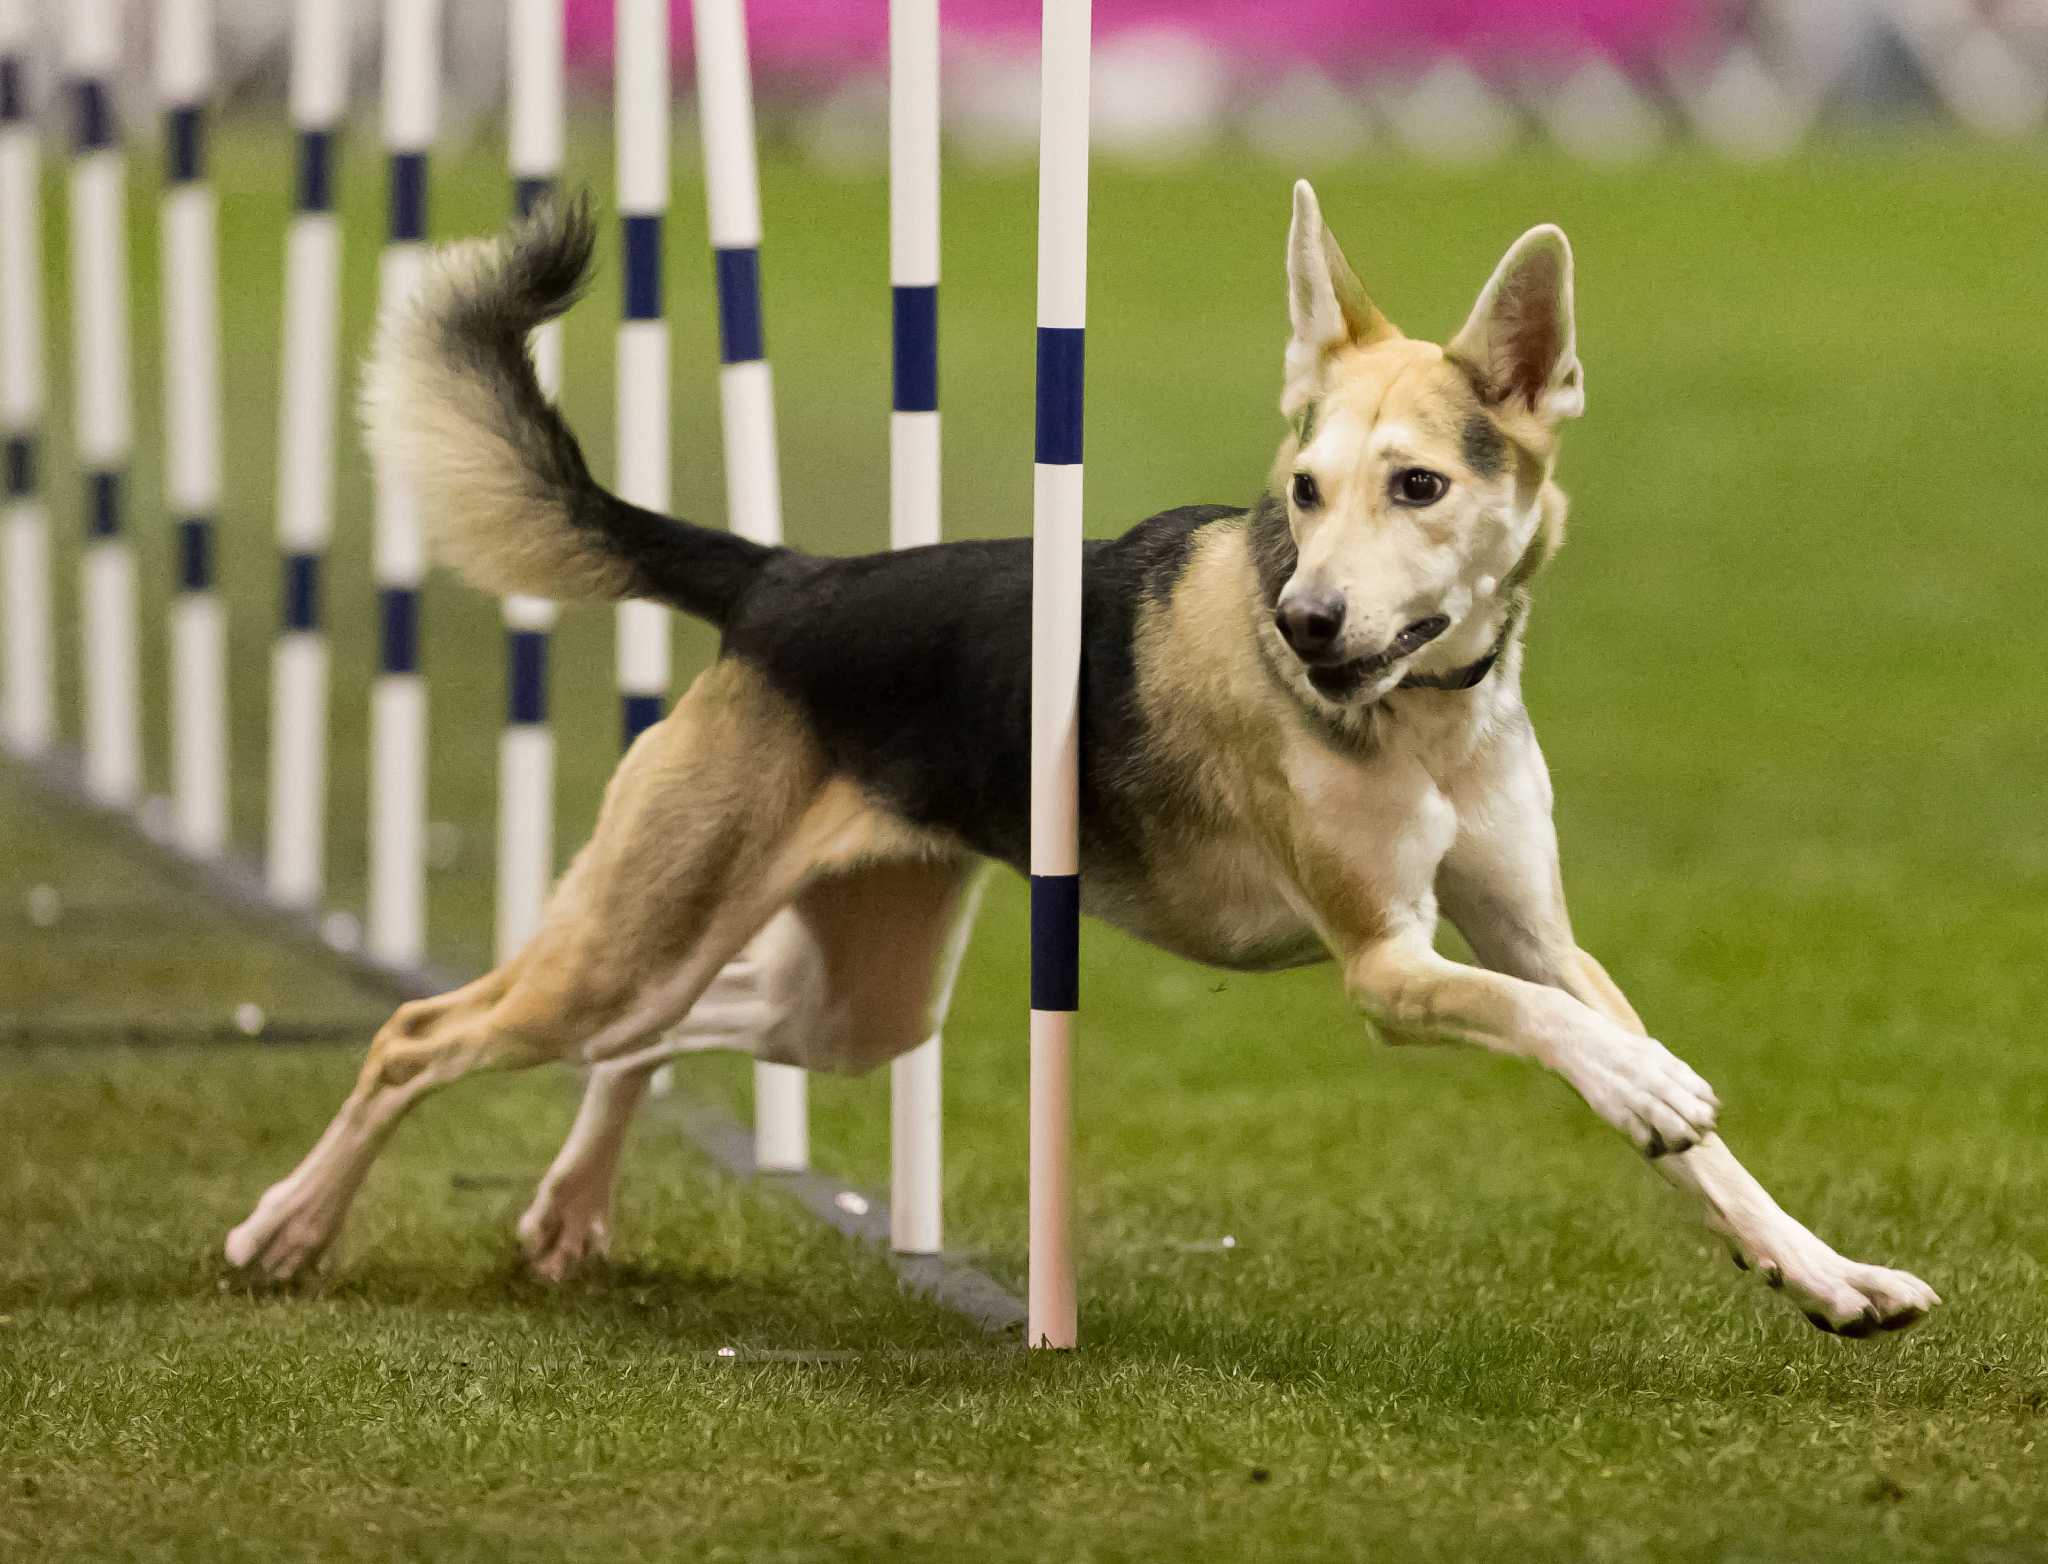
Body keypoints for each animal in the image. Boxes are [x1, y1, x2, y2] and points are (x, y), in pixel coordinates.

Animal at [224, 180, 1933, 1334]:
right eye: (1301, 493)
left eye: (1421, 487)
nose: (1304, 625)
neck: (1427, 710)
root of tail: (787, 582)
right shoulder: (1392, 966)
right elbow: (1554, 1033)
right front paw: (1649, 1089)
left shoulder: (1536, 931)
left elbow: (1667, 1111)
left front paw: (1824, 1271)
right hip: (639, 932)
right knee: (423, 1035)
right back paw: (285, 1230)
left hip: (846, 993)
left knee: (658, 1034)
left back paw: (569, 1206)